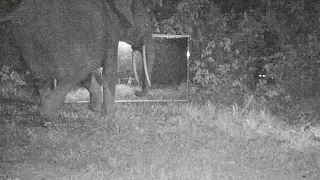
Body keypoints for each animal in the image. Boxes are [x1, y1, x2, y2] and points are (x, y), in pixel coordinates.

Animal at [0, 0, 156, 124]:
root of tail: (17, 11)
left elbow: (89, 75)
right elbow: (109, 72)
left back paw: (47, 117)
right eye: (147, 25)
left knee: (42, 79)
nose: (137, 93)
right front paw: (109, 116)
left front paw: (94, 109)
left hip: (28, 41)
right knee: (71, 76)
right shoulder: (111, 33)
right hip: (53, 42)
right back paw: (48, 116)